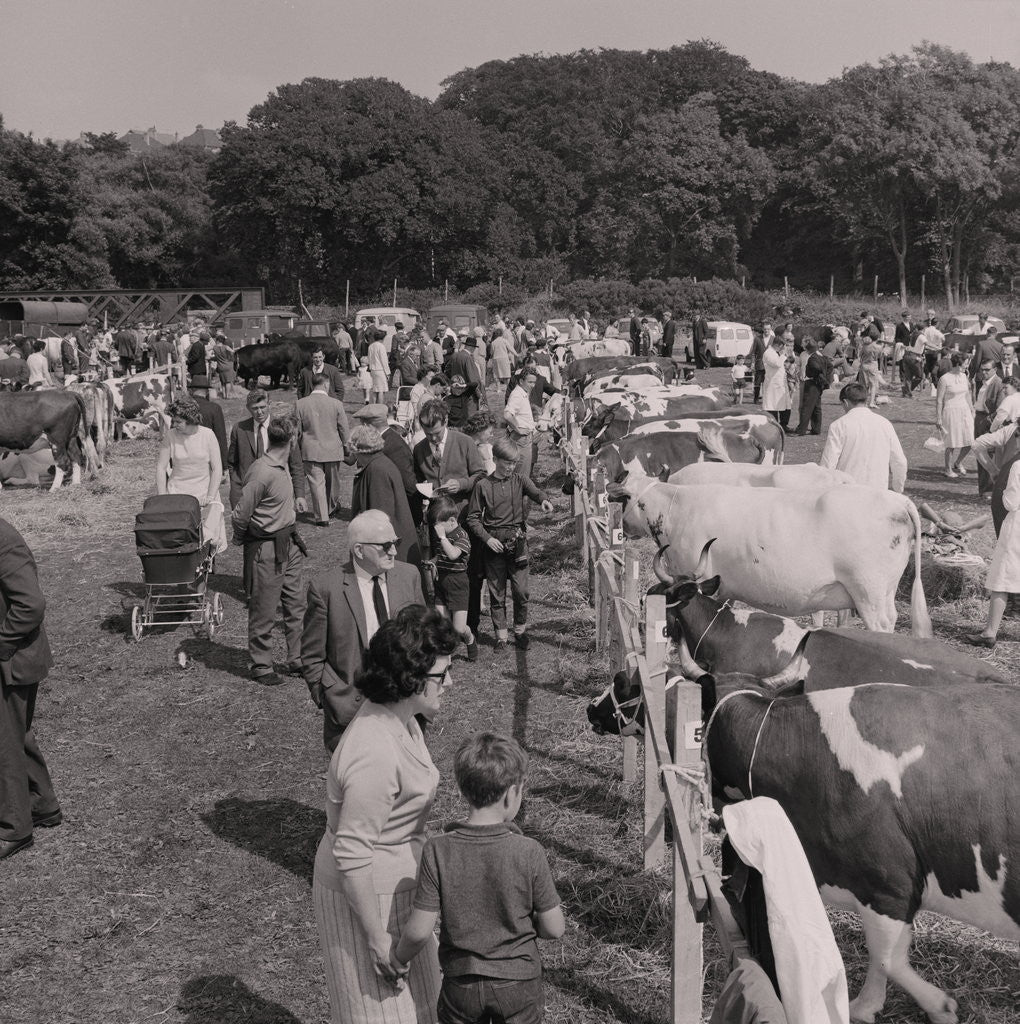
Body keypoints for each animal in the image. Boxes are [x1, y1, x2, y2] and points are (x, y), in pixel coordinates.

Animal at [610, 475, 938, 634]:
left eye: (626, 499)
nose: (623, 527)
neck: (677, 509)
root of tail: (899, 501)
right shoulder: (724, 589)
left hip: (870, 592)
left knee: (882, 624)